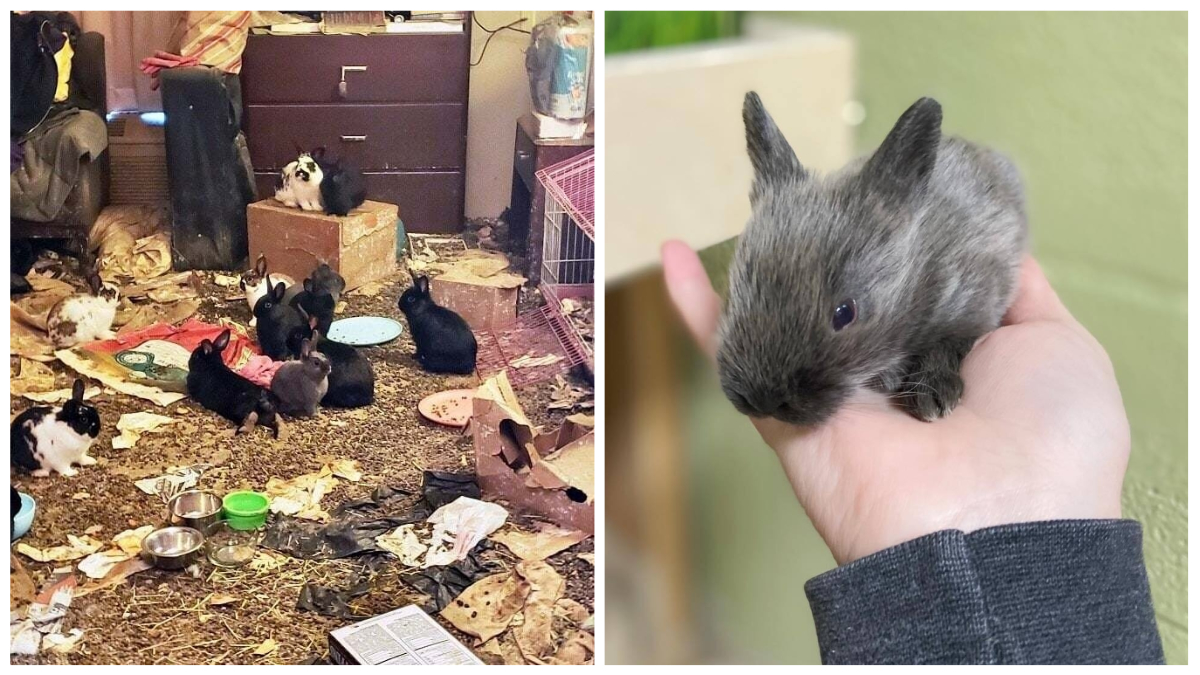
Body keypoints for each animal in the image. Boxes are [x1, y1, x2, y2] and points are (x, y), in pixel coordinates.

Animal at [716, 94, 1027, 427]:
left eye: (845, 313)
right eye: (733, 295)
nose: (763, 401)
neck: (920, 273)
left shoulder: (973, 304)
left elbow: (947, 345)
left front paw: (931, 392)